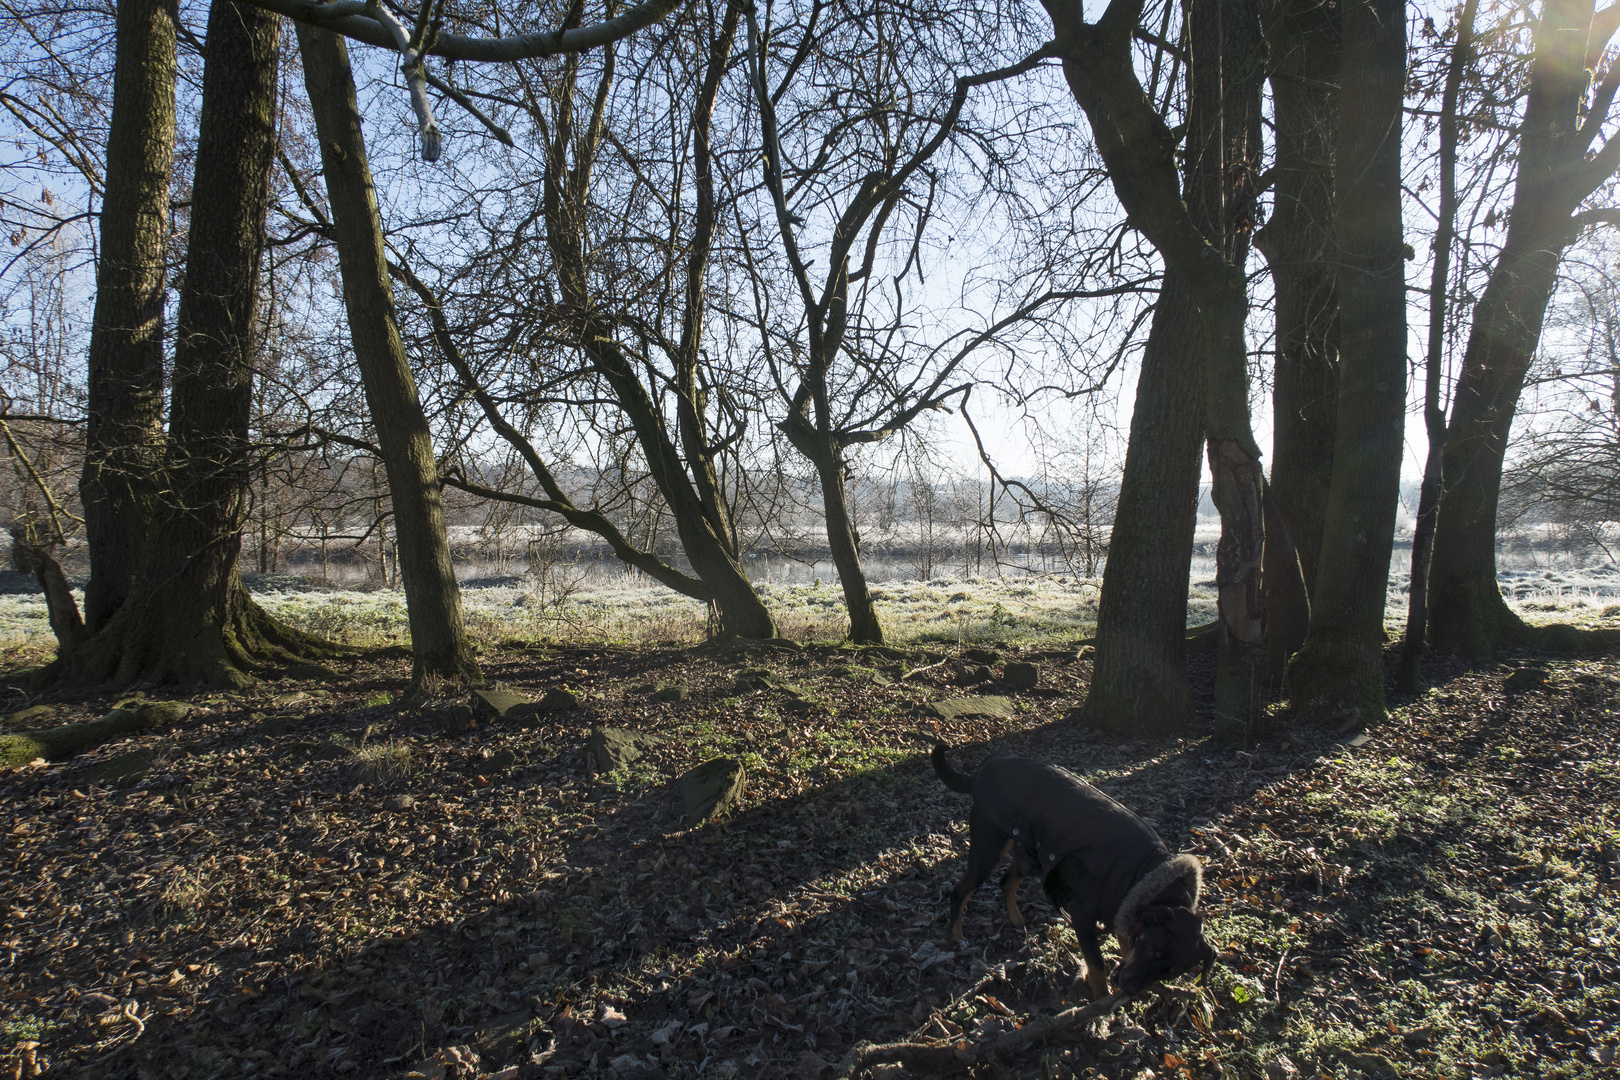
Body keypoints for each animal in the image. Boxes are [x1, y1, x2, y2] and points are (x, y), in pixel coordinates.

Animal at [933, 744, 1211, 997]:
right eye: (1153, 949)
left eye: (1170, 972)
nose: (1130, 990)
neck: (1143, 873)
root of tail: (982, 771)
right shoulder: (1082, 917)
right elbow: (1097, 968)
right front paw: (1102, 1007)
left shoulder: (1122, 912)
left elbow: (1123, 946)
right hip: (989, 851)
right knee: (960, 892)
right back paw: (957, 937)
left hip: (1029, 854)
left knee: (1006, 881)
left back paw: (1016, 919)